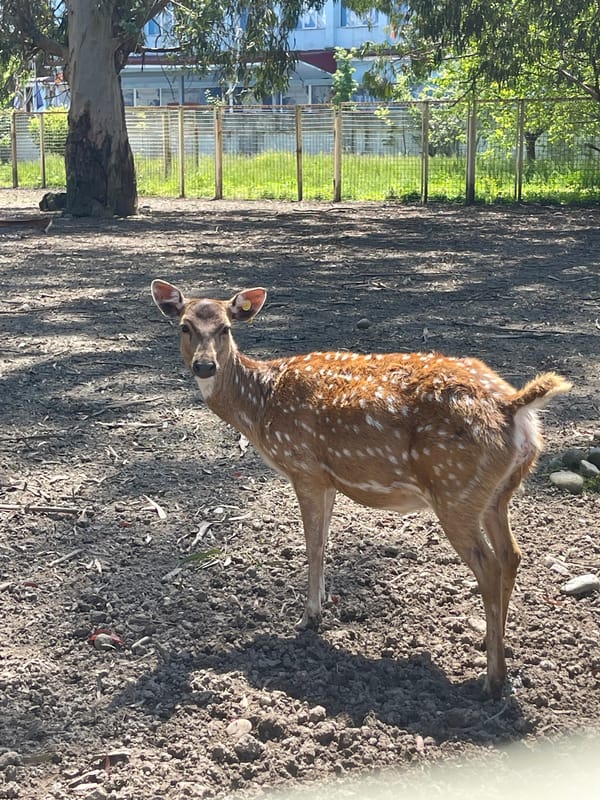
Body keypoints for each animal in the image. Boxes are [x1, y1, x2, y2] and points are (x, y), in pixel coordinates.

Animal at [151, 279, 571, 697]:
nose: (204, 365)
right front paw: (320, 607)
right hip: (497, 493)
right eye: (185, 326)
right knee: (512, 554)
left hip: (455, 490)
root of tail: (513, 407)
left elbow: (313, 545)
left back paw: (492, 678)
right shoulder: (331, 478)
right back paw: (493, 643)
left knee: (489, 564)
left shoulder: (304, 467)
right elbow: (325, 542)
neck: (260, 406)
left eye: (225, 328)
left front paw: (309, 617)